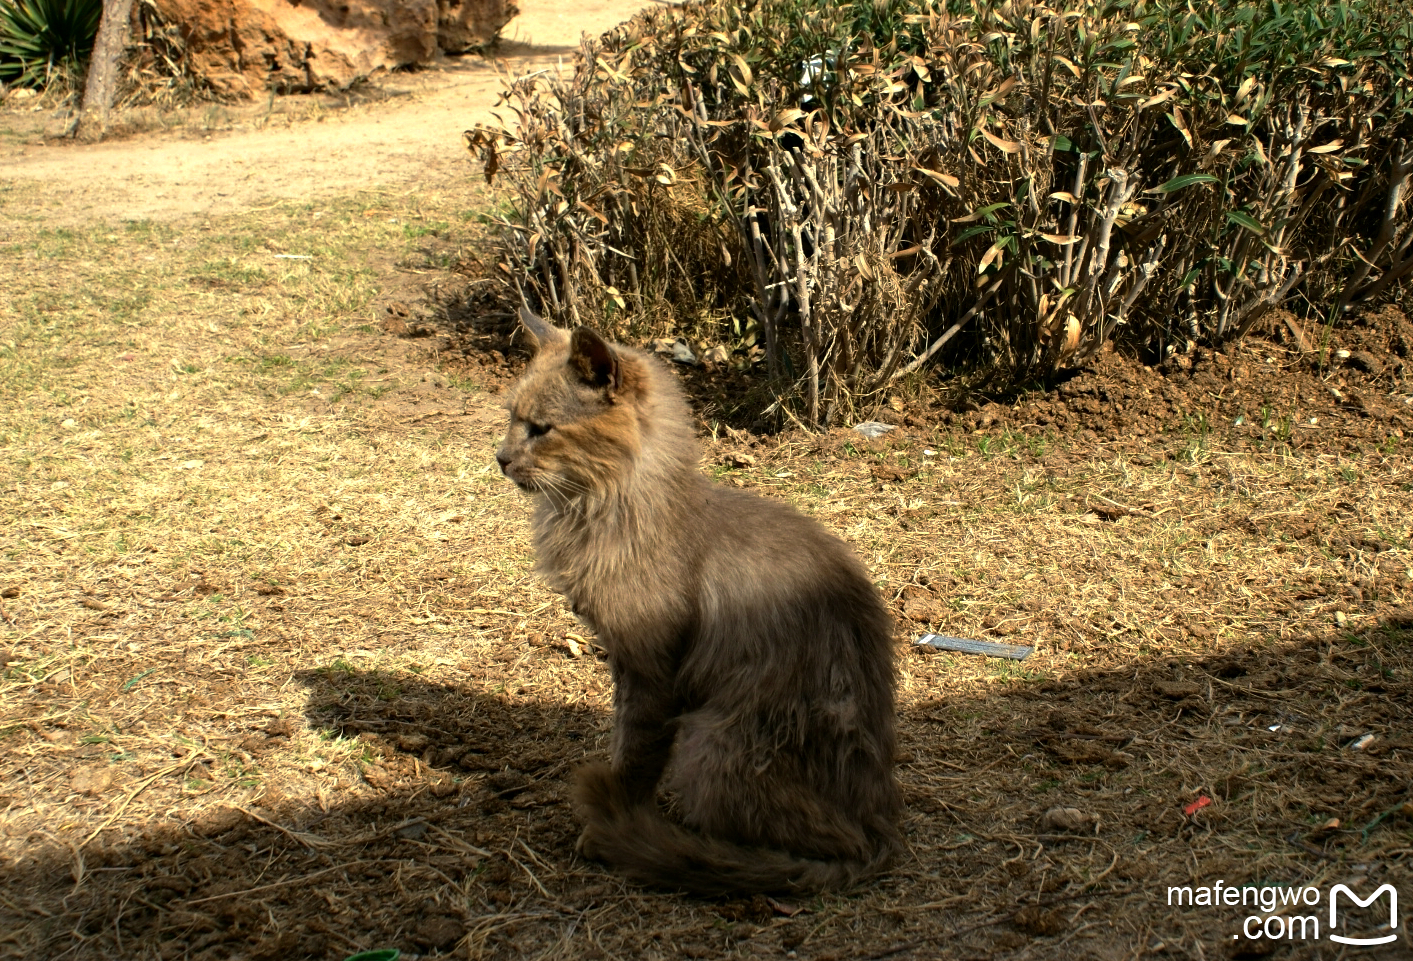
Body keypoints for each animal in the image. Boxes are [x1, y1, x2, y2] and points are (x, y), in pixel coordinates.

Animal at [491, 310, 898, 898]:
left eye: (541, 429)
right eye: (511, 419)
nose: (500, 458)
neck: (607, 505)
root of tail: (881, 830)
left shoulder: (648, 669)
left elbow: (633, 756)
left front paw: (614, 823)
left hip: (711, 743)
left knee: (819, 846)